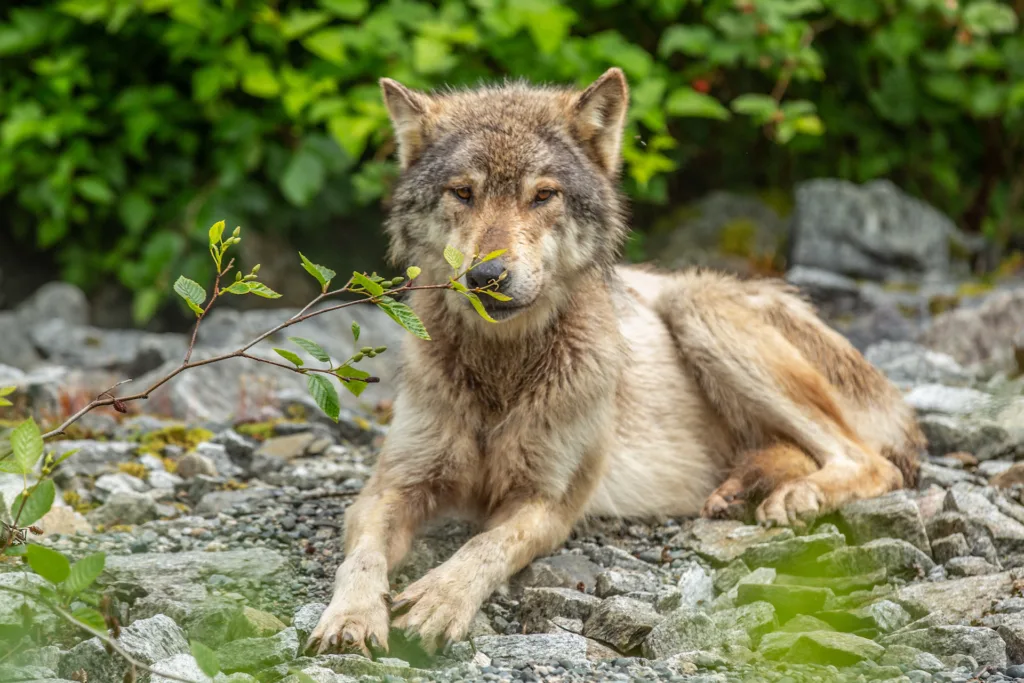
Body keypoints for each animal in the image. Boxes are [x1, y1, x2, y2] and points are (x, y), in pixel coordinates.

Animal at [307, 68, 924, 657]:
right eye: (463, 192)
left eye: (543, 195)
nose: (487, 277)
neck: (502, 371)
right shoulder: (391, 487)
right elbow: (363, 559)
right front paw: (351, 618)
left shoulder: (547, 503)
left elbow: (485, 545)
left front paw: (439, 600)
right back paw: (741, 490)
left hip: (697, 306)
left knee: (872, 461)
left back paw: (797, 495)